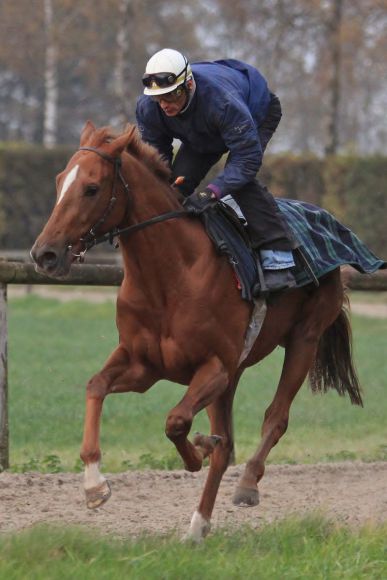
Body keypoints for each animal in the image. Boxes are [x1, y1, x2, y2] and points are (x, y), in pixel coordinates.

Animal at [30, 120, 364, 540]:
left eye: (91, 187)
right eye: (60, 181)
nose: (44, 254)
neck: (171, 276)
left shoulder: (214, 366)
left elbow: (177, 422)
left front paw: (199, 449)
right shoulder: (144, 365)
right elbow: (96, 386)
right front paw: (94, 484)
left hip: (304, 338)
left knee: (275, 417)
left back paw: (246, 484)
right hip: (236, 372)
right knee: (227, 444)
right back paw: (198, 525)